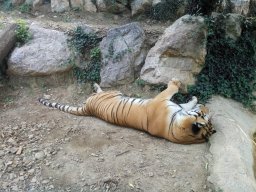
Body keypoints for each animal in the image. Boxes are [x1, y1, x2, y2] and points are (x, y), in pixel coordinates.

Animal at [39, 78, 215, 144]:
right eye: (204, 115)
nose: (207, 108)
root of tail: (88, 109)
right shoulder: (166, 102)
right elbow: (180, 97)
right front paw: (194, 97)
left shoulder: (163, 101)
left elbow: (174, 92)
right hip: (113, 92)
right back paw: (95, 84)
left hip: (111, 93)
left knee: (99, 91)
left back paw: (95, 85)